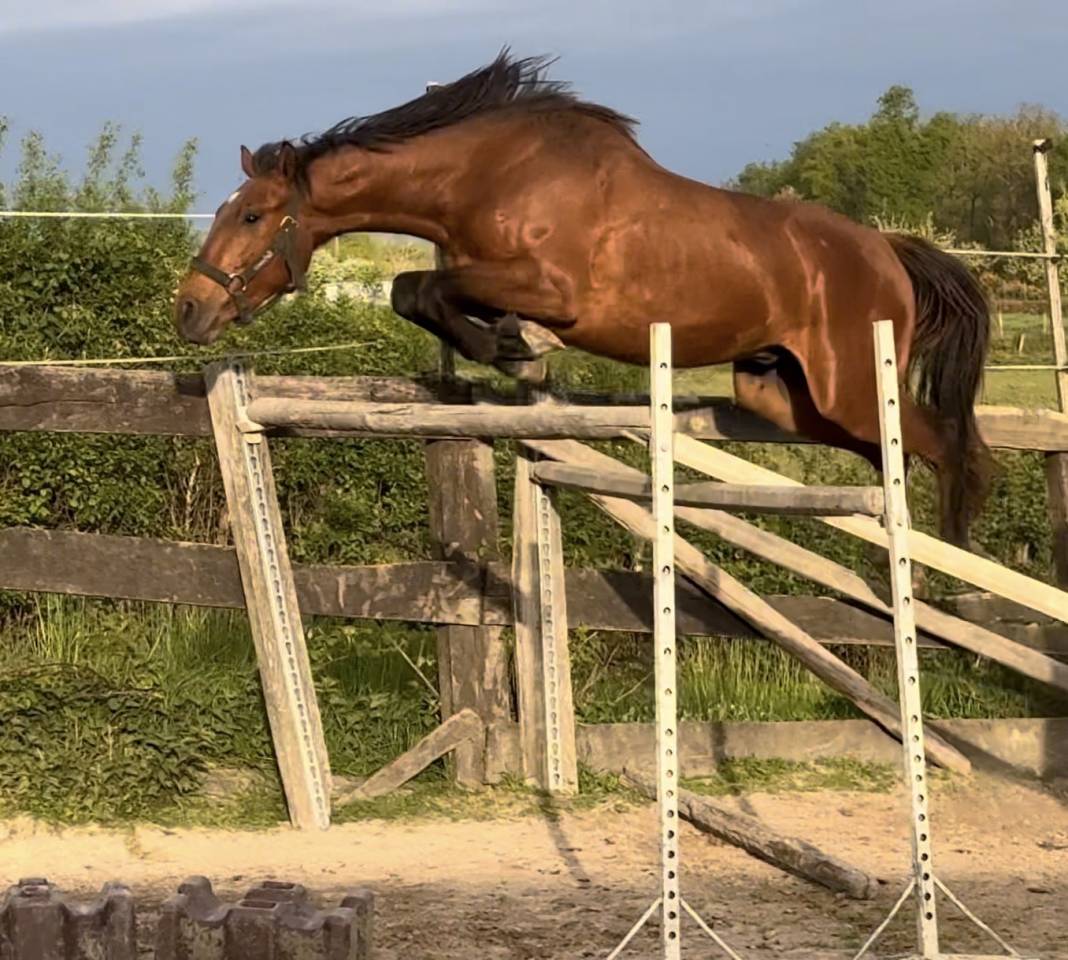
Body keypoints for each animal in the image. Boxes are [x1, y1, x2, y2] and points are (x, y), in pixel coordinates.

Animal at [174, 51, 993, 546]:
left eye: (252, 216)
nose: (189, 309)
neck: (487, 177)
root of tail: (887, 250)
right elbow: (414, 291)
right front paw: (512, 350)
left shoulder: (554, 287)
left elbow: (427, 286)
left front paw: (517, 349)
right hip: (785, 397)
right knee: (894, 454)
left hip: (850, 388)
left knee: (951, 445)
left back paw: (955, 566)